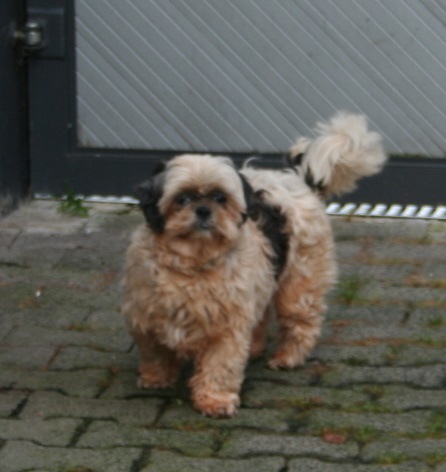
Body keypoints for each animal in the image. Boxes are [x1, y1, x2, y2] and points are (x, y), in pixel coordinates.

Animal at [122, 112, 387, 418]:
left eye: (220, 198)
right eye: (182, 199)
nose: (203, 210)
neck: (194, 263)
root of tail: (296, 178)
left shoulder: (227, 329)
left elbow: (220, 366)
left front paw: (214, 400)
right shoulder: (147, 320)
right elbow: (156, 353)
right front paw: (157, 378)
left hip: (299, 286)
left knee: (301, 324)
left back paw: (287, 357)